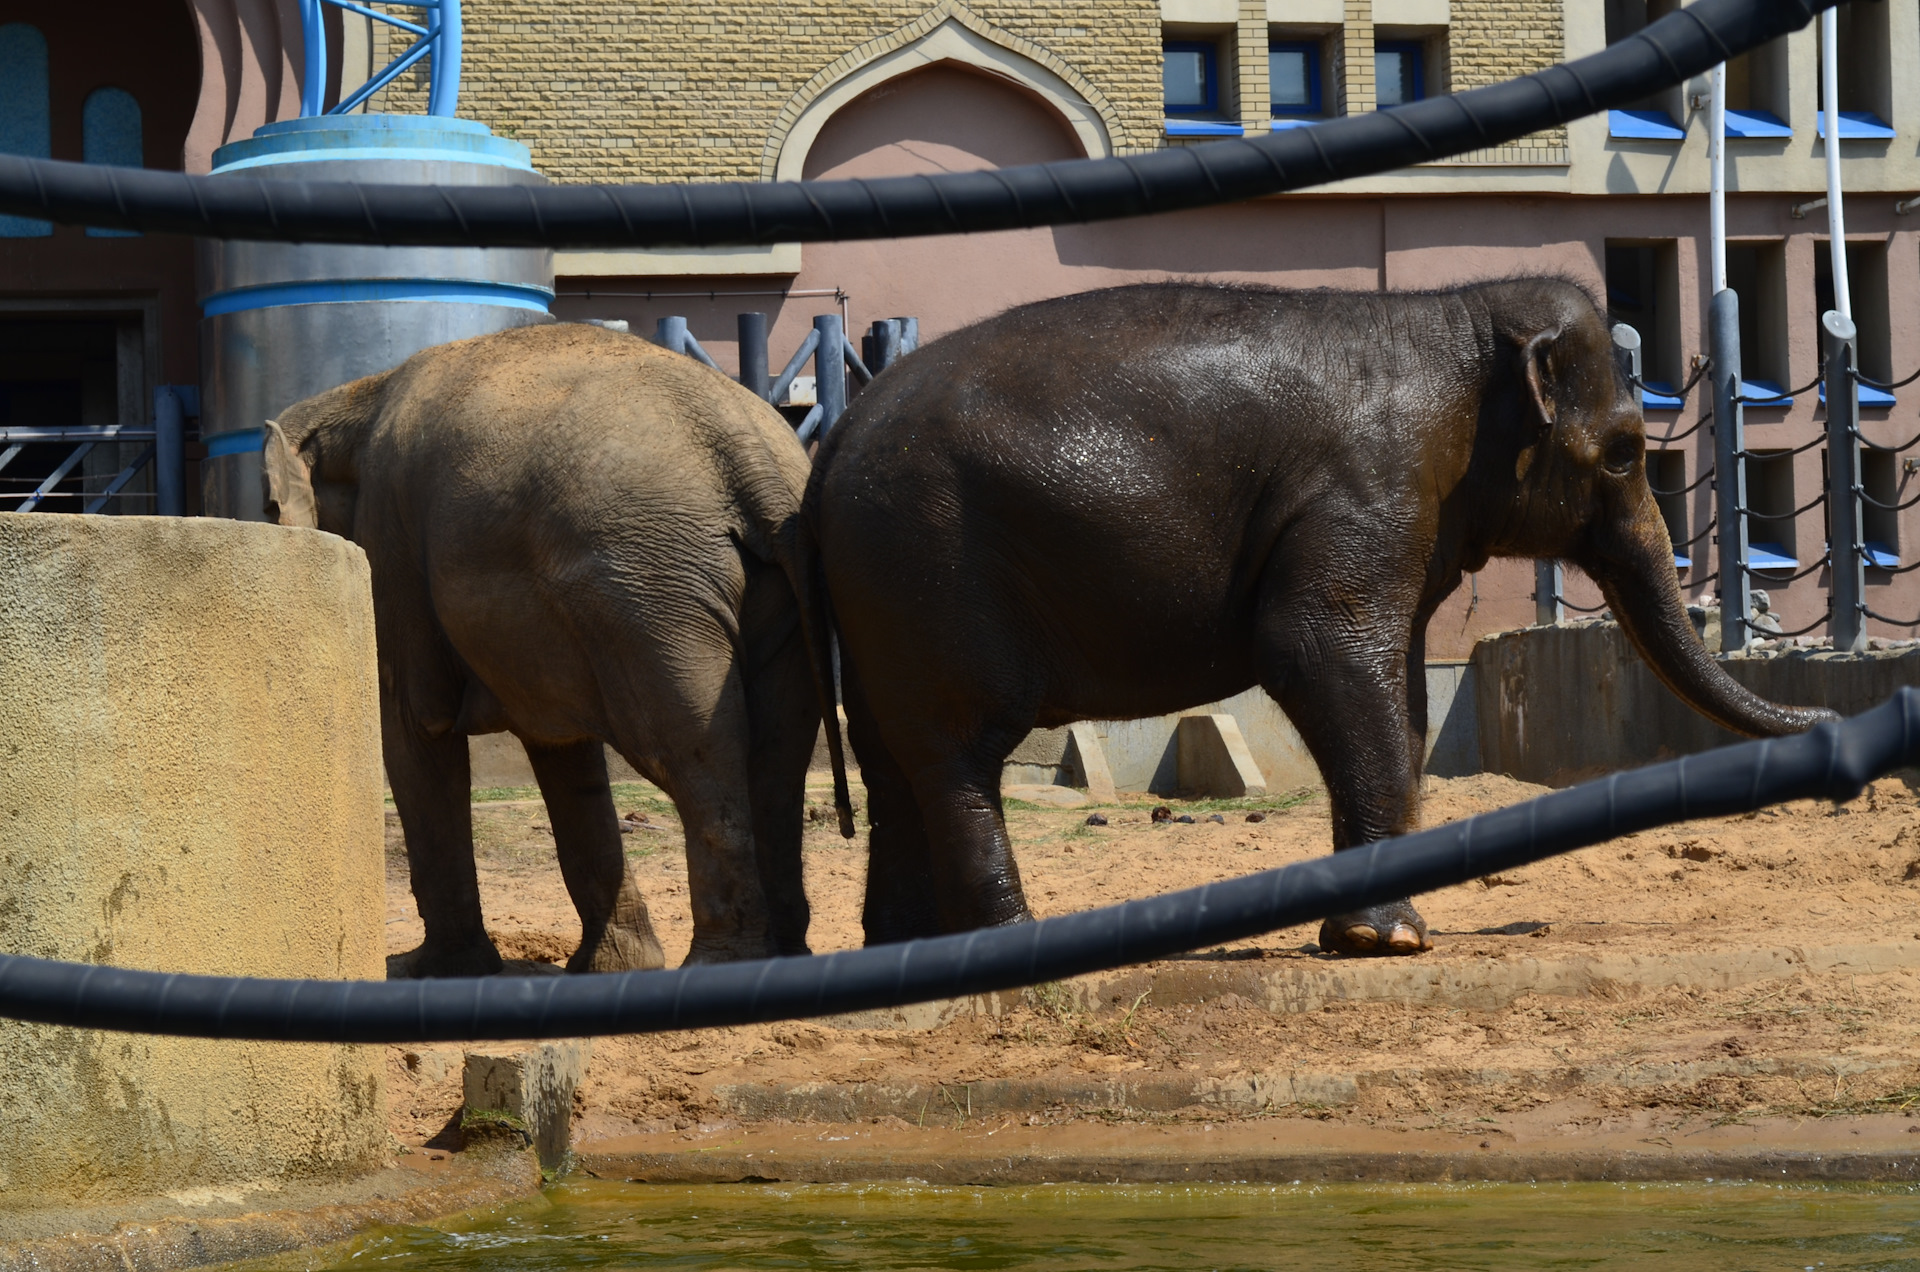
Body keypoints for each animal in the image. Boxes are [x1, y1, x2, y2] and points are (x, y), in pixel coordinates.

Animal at [264, 320, 856, 976]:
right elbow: (562, 753)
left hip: (649, 591)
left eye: (268, 508)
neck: (360, 393)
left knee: (693, 754)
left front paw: (431, 970)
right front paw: (616, 966)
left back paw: (721, 964)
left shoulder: (393, 550)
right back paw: (782, 955)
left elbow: (418, 729)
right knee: (775, 759)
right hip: (760, 592)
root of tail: (747, 452)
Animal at [806, 276, 1827, 956]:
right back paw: (1009, 947)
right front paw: (1389, 943)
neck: (1454, 318)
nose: (1822, 714)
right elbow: (1320, 653)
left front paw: (1380, 931)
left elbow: (1403, 694)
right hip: (927, 564)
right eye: (1623, 453)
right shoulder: (1371, 488)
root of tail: (837, 435)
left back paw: (903, 954)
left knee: (892, 760)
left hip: (883, 594)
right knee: (956, 754)